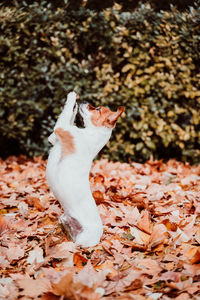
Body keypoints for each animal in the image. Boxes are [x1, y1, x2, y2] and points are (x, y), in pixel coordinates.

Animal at [46, 91, 124, 246]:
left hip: (82, 240)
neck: (92, 135)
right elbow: (70, 114)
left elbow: (66, 110)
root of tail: (99, 238)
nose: (85, 101)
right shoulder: (54, 138)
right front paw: (75, 105)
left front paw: (72, 96)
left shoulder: (61, 128)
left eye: (98, 109)